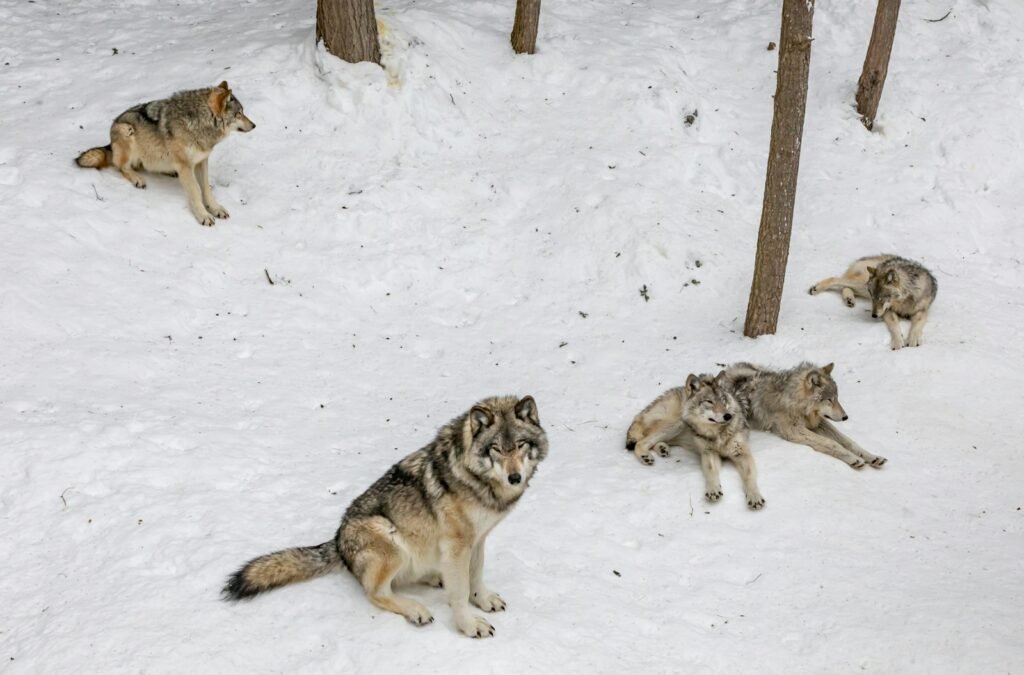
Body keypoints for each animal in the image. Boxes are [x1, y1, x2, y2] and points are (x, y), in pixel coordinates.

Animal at [75, 81, 255, 226]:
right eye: (239, 114)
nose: (254, 125)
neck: (199, 122)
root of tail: (110, 144)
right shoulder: (185, 165)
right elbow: (196, 192)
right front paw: (203, 216)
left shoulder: (201, 161)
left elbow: (206, 190)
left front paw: (216, 209)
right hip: (127, 130)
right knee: (122, 167)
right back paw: (137, 179)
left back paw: (169, 172)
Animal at [223, 395, 547, 639]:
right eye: (496, 449)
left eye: (520, 445)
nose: (515, 477)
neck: (477, 478)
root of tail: (337, 542)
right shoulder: (458, 545)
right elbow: (460, 591)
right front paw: (468, 626)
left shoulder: (477, 539)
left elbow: (475, 576)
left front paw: (483, 600)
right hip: (389, 538)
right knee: (375, 593)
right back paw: (417, 610)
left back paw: (434, 577)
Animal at [625, 373, 764, 509]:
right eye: (709, 401)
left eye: (723, 400)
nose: (728, 416)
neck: (717, 433)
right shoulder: (709, 453)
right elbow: (710, 472)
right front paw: (713, 490)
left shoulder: (742, 453)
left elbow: (749, 476)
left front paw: (754, 496)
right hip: (678, 423)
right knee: (642, 441)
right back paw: (645, 456)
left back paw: (662, 449)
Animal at [724, 362, 886, 469]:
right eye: (829, 400)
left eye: (837, 398)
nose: (845, 417)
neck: (795, 402)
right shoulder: (794, 431)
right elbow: (831, 443)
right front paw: (853, 458)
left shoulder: (818, 422)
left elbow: (848, 441)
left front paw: (872, 457)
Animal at [809, 254, 937, 350]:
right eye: (873, 297)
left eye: (881, 298)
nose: (874, 315)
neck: (903, 301)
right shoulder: (887, 311)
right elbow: (894, 326)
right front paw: (897, 342)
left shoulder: (922, 310)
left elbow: (917, 325)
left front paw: (913, 339)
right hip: (863, 286)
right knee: (837, 279)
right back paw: (816, 288)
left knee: (844, 286)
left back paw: (849, 300)